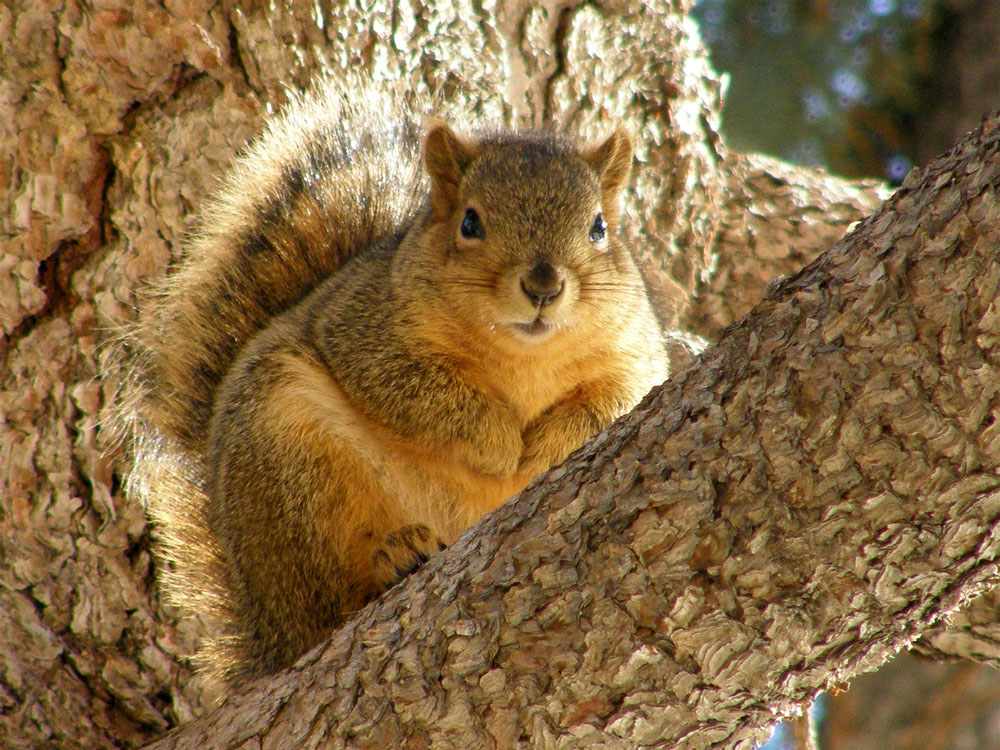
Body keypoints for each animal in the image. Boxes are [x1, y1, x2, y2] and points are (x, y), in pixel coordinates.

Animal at [117, 81, 668, 688]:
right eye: (469, 223)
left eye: (599, 227)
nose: (543, 286)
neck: (523, 356)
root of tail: (264, 632)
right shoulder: (364, 328)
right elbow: (417, 394)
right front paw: (501, 446)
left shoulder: (633, 355)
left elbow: (611, 403)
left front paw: (544, 447)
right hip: (284, 460)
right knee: (323, 606)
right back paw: (394, 560)